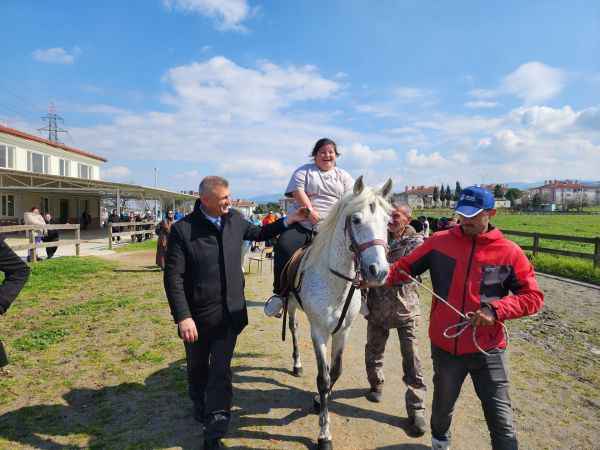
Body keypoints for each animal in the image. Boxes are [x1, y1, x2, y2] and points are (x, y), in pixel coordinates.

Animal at [288, 177, 394, 450]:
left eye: (388, 222)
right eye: (355, 220)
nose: (379, 271)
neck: (335, 281)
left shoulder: (342, 332)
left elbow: (334, 372)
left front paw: (318, 401)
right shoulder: (319, 333)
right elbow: (323, 378)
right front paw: (324, 435)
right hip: (291, 305)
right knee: (293, 329)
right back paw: (297, 364)